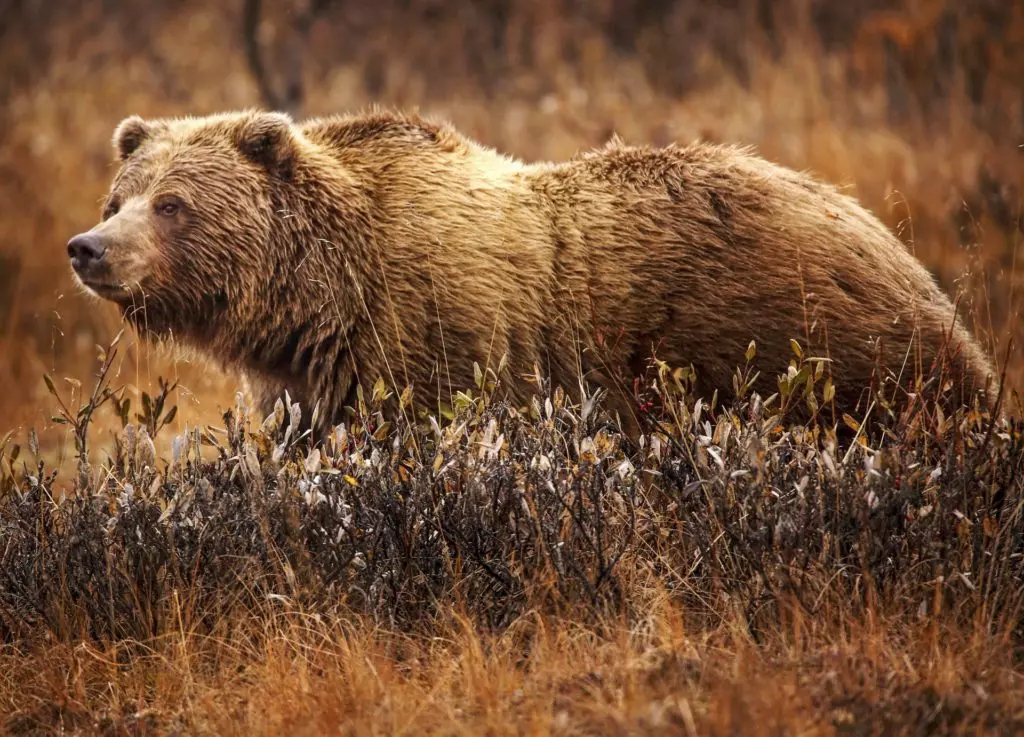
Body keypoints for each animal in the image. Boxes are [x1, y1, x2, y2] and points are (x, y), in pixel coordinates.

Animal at [66, 106, 991, 434]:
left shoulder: (435, 341)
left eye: (173, 203)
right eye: (120, 195)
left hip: (811, 348)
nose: (89, 247)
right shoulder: (314, 378)